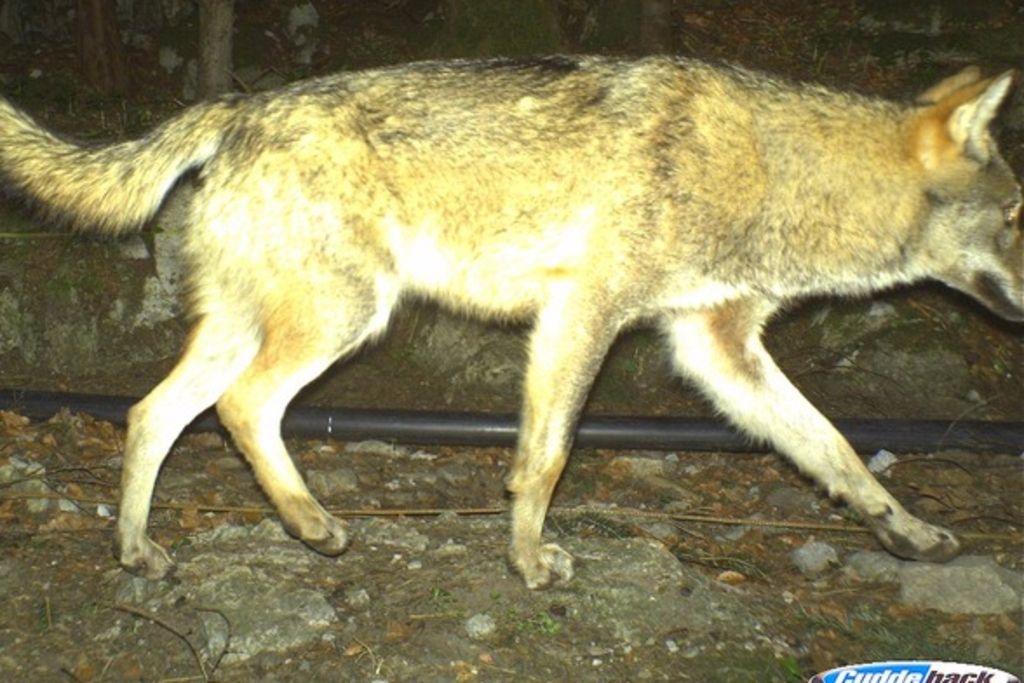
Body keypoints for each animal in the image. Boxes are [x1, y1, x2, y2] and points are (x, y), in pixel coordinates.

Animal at [0, 56, 1019, 588]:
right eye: (1015, 217)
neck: (773, 173)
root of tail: (237, 106)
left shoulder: (717, 347)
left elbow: (838, 449)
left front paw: (909, 534)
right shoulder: (584, 313)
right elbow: (549, 457)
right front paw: (529, 560)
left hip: (252, 328)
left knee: (150, 414)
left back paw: (137, 549)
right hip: (342, 319)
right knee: (241, 409)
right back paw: (312, 524)